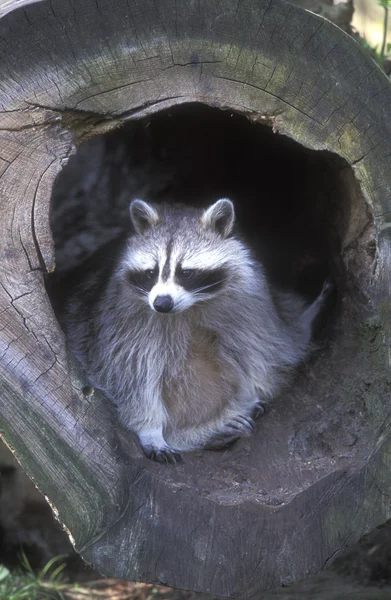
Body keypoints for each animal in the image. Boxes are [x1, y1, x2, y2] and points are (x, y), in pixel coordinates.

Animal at [62, 199, 332, 462]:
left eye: (186, 272)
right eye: (151, 273)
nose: (162, 303)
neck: (188, 309)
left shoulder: (251, 306)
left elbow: (264, 351)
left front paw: (250, 395)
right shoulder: (122, 322)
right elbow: (129, 374)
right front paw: (150, 429)